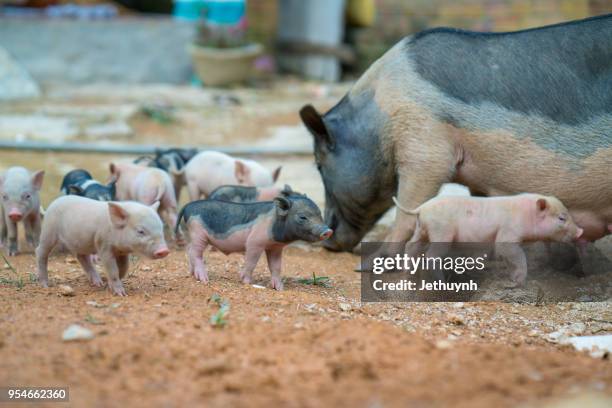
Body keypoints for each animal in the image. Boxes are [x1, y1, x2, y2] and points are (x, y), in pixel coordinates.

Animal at [36, 195, 170, 294]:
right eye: (141, 231)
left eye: (161, 227)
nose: (164, 250)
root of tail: (50, 207)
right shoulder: (103, 245)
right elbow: (113, 269)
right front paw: (121, 293)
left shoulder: (122, 252)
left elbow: (124, 268)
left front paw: (108, 285)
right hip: (48, 231)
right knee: (40, 251)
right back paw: (45, 285)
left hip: (81, 243)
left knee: (82, 257)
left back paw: (98, 283)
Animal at [175, 193, 332, 288]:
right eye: (302, 217)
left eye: (319, 214)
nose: (328, 231)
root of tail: (188, 206)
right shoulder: (254, 242)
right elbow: (251, 262)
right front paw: (246, 282)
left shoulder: (275, 247)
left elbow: (276, 266)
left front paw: (279, 288)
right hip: (198, 232)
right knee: (195, 253)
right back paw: (204, 279)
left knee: (189, 250)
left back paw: (192, 274)